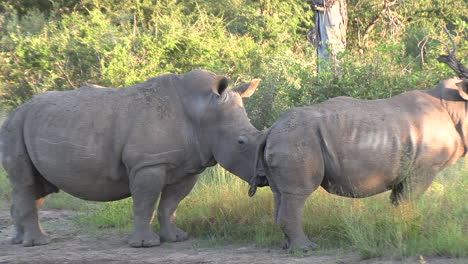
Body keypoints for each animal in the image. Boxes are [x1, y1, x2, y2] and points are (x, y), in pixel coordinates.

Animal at [0, 69, 264, 248]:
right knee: (26, 184)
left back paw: (19, 241)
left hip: (35, 124)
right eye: (241, 142)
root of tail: (15, 110)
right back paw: (39, 243)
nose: (262, 177)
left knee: (37, 188)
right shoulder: (148, 163)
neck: (202, 111)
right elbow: (145, 203)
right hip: (15, 126)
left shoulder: (189, 165)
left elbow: (170, 204)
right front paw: (147, 244)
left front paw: (176, 238)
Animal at [250, 78, 468, 252]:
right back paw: (305, 249)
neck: (456, 109)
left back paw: (286, 247)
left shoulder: (407, 168)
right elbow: (409, 199)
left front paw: (396, 227)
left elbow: (398, 201)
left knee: (279, 193)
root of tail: (272, 129)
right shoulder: (425, 167)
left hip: (286, 138)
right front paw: (410, 229)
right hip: (296, 139)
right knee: (298, 193)